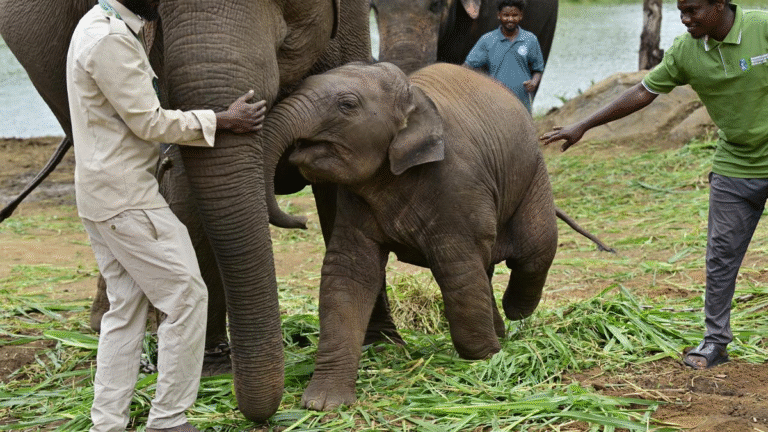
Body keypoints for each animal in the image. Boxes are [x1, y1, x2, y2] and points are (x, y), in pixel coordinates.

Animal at [262, 61, 607, 410]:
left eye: (347, 105)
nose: (302, 221)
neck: (413, 96)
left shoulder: (457, 184)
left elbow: (457, 271)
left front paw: (487, 362)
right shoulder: (353, 198)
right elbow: (347, 274)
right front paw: (323, 405)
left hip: (532, 172)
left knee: (532, 251)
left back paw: (515, 313)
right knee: (490, 267)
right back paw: (501, 330)